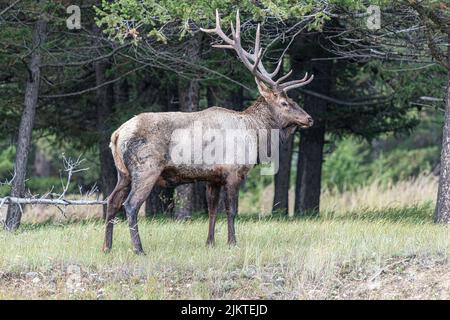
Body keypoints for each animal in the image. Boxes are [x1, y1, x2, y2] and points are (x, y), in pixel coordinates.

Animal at [103, 10, 312, 254]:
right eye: (285, 103)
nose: (309, 118)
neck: (255, 134)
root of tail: (116, 135)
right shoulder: (233, 171)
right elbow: (231, 210)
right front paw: (232, 242)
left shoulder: (213, 177)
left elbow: (212, 210)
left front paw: (210, 242)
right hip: (146, 168)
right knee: (130, 205)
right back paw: (138, 249)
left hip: (123, 172)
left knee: (111, 201)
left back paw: (106, 247)